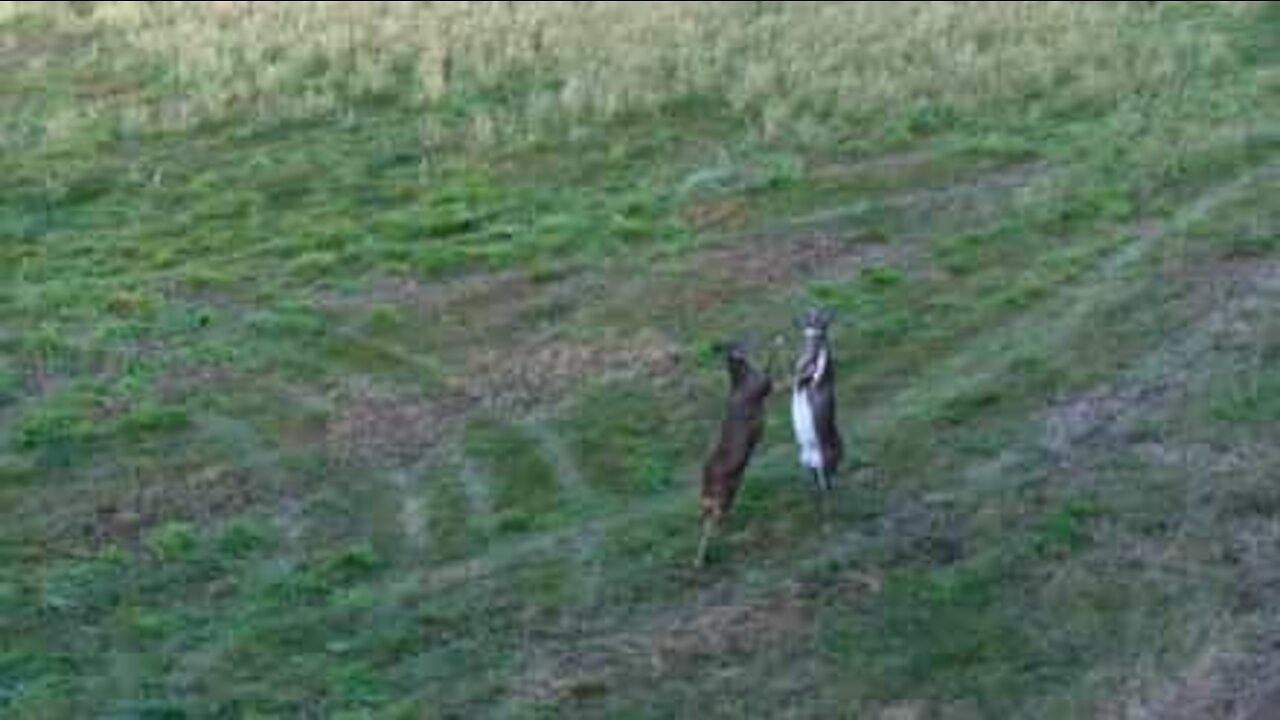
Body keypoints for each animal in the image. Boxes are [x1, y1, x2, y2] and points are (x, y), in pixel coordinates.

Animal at [696, 338, 773, 566]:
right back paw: (702, 558)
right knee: (711, 524)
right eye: (735, 344)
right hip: (722, 493)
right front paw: (779, 340)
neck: (740, 380)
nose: (746, 345)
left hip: (727, 491)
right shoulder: (762, 385)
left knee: (709, 519)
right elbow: (769, 367)